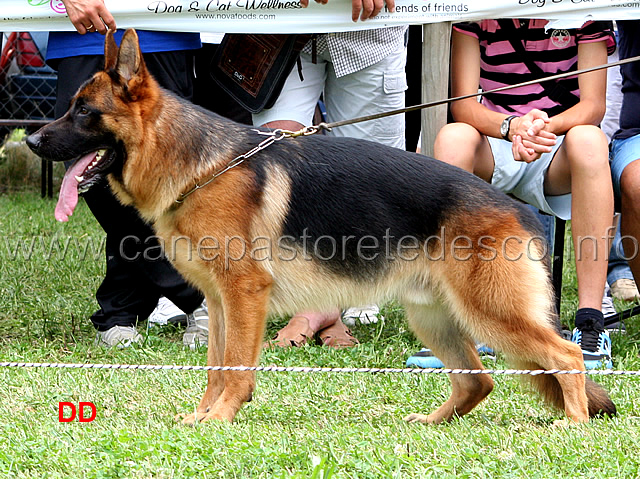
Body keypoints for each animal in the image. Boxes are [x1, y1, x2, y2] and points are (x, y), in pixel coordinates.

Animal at [26, 30, 616, 426]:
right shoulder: (219, 302)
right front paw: (202, 418)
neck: (197, 164)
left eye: (84, 113)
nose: (30, 140)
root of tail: (521, 211)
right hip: (436, 319)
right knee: (480, 379)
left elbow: (236, 369)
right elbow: (216, 365)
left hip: (491, 313)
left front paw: (220, 420)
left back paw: (572, 425)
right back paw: (432, 423)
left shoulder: (244, 295)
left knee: (564, 357)